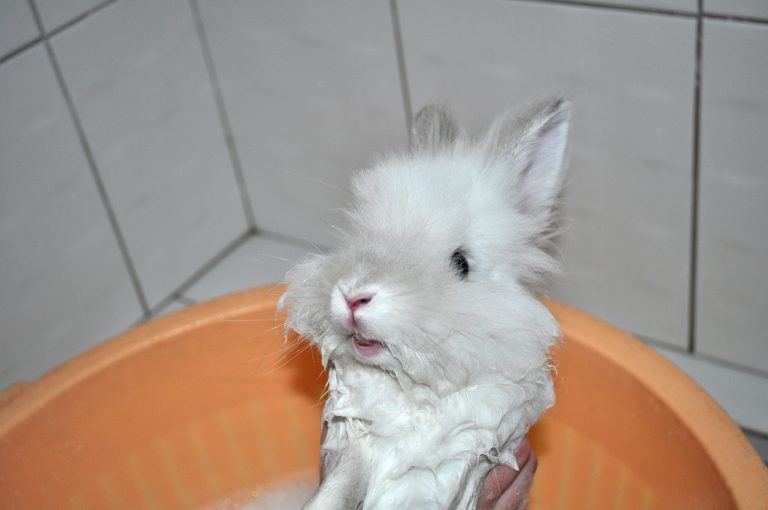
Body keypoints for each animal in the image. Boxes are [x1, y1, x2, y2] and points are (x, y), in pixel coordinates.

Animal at [282, 97, 568, 508]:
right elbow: (340, 485)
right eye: (363, 236)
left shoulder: (468, 462)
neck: (414, 397)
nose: (353, 297)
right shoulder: (356, 448)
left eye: (461, 263)